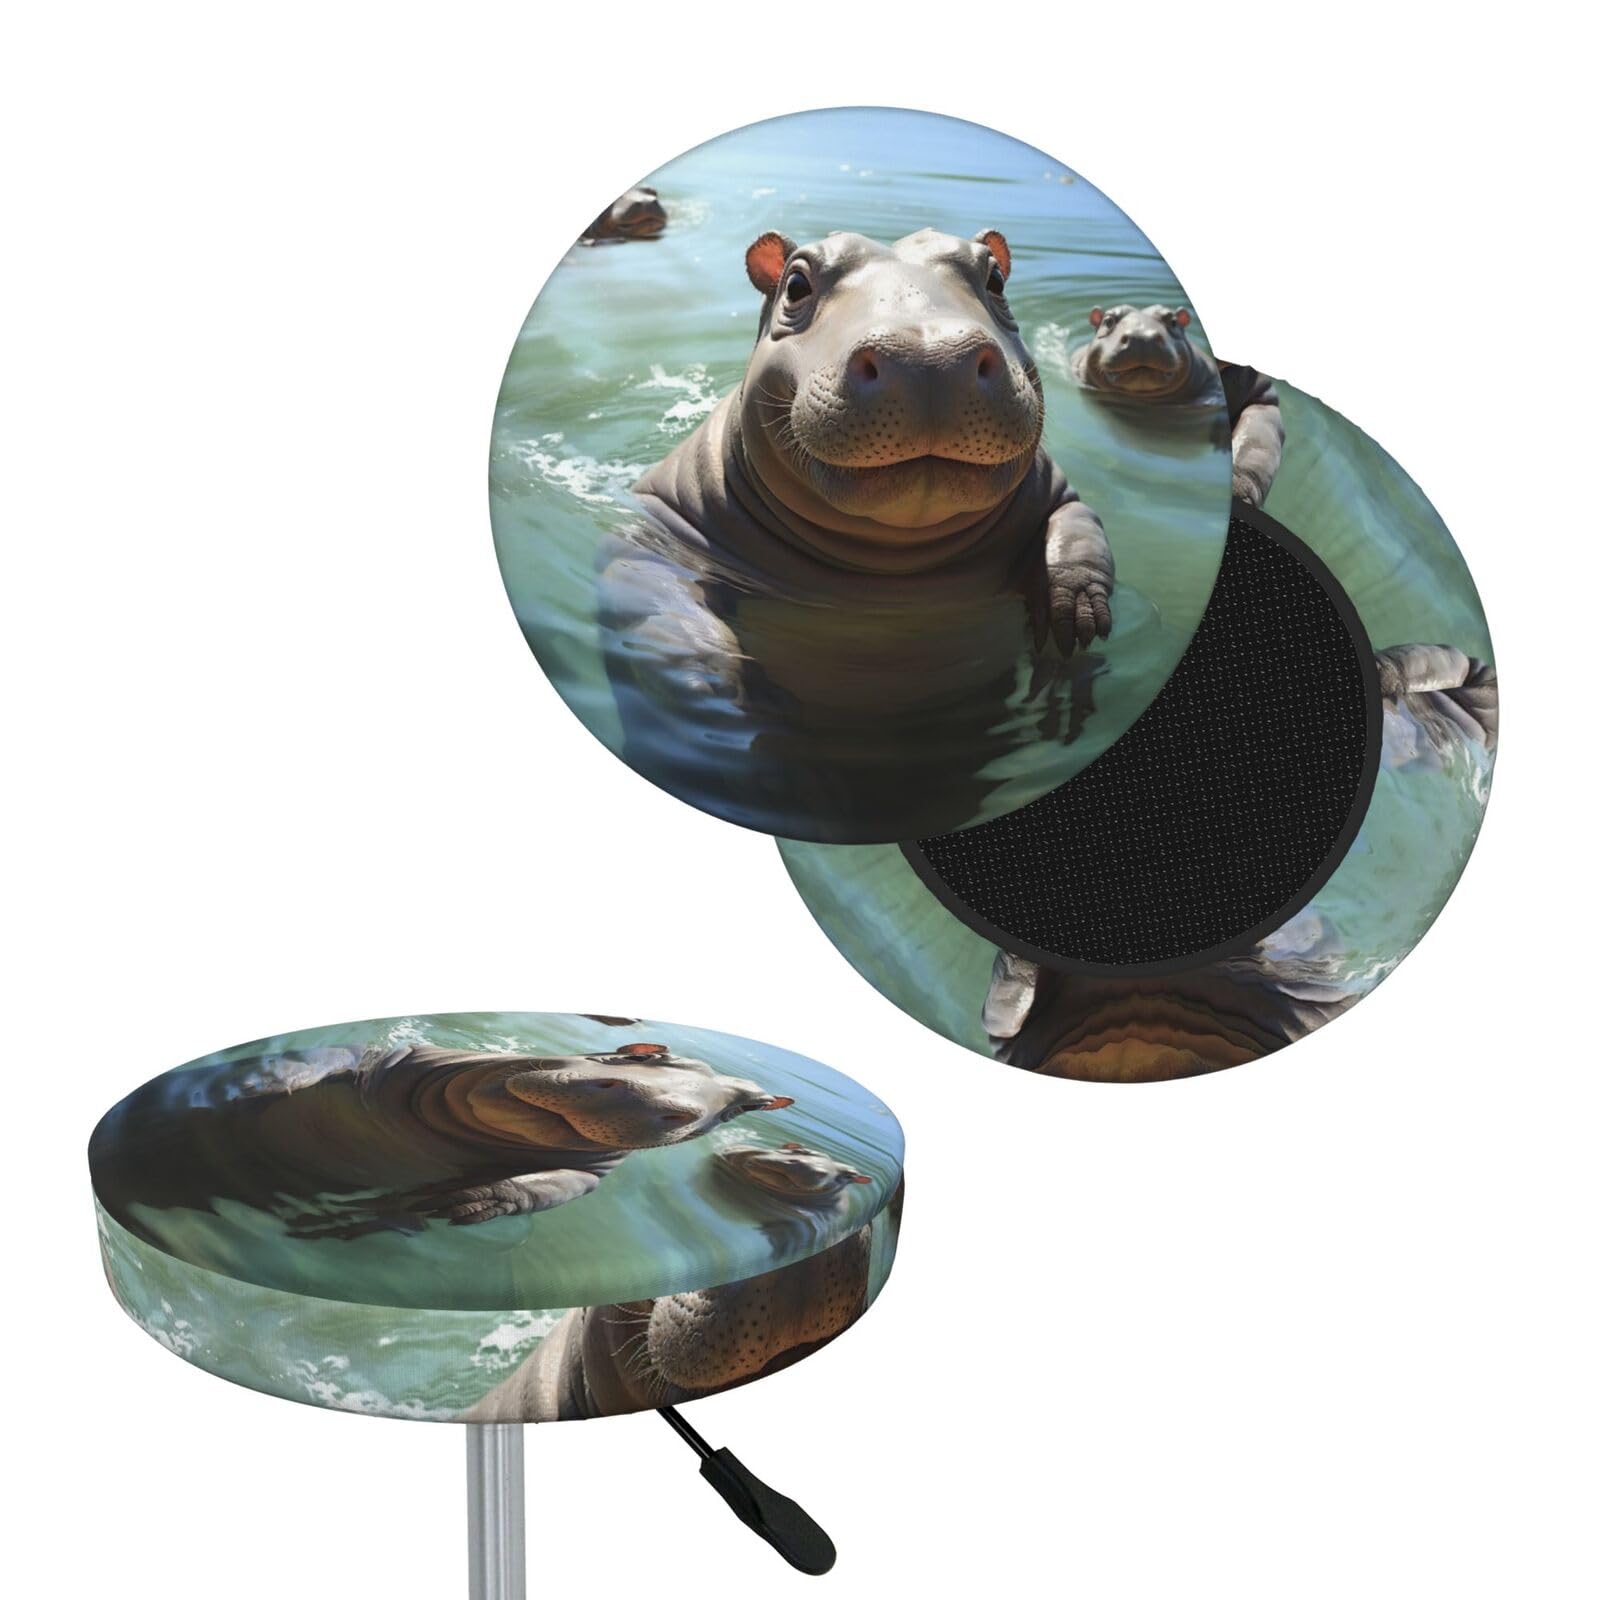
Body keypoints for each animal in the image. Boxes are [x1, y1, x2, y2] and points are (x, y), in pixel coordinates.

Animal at [89, 1042, 795, 1243]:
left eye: (740, 1109)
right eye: (653, 1054)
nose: (672, 1108)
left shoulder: (591, 1172)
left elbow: (551, 1186)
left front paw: (464, 1203)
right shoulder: (394, 1061)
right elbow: (329, 1059)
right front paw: (268, 1081)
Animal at [599, 226, 1114, 838]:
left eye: (995, 279)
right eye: (796, 284)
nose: (930, 357)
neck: (891, 567)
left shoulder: (1057, 492)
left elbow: (1078, 530)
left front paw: (1075, 622)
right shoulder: (659, 527)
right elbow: (660, 611)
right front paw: (750, 716)